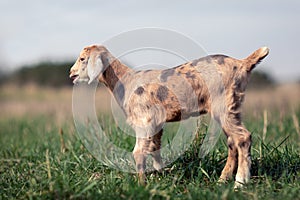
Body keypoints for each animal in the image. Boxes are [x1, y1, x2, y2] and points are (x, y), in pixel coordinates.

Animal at [69, 44, 270, 188]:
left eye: (82, 59)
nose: (71, 73)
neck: (125, 80)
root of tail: (242, 63)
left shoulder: (144, 120)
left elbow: (138, 152)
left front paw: (141, 185)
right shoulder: (156, 122)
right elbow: (155, 147)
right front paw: (161, 175)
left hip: (224, 105)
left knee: (243, 138)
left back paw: (240, 182)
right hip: (231, 107)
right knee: (232, 142)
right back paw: (223, 180)